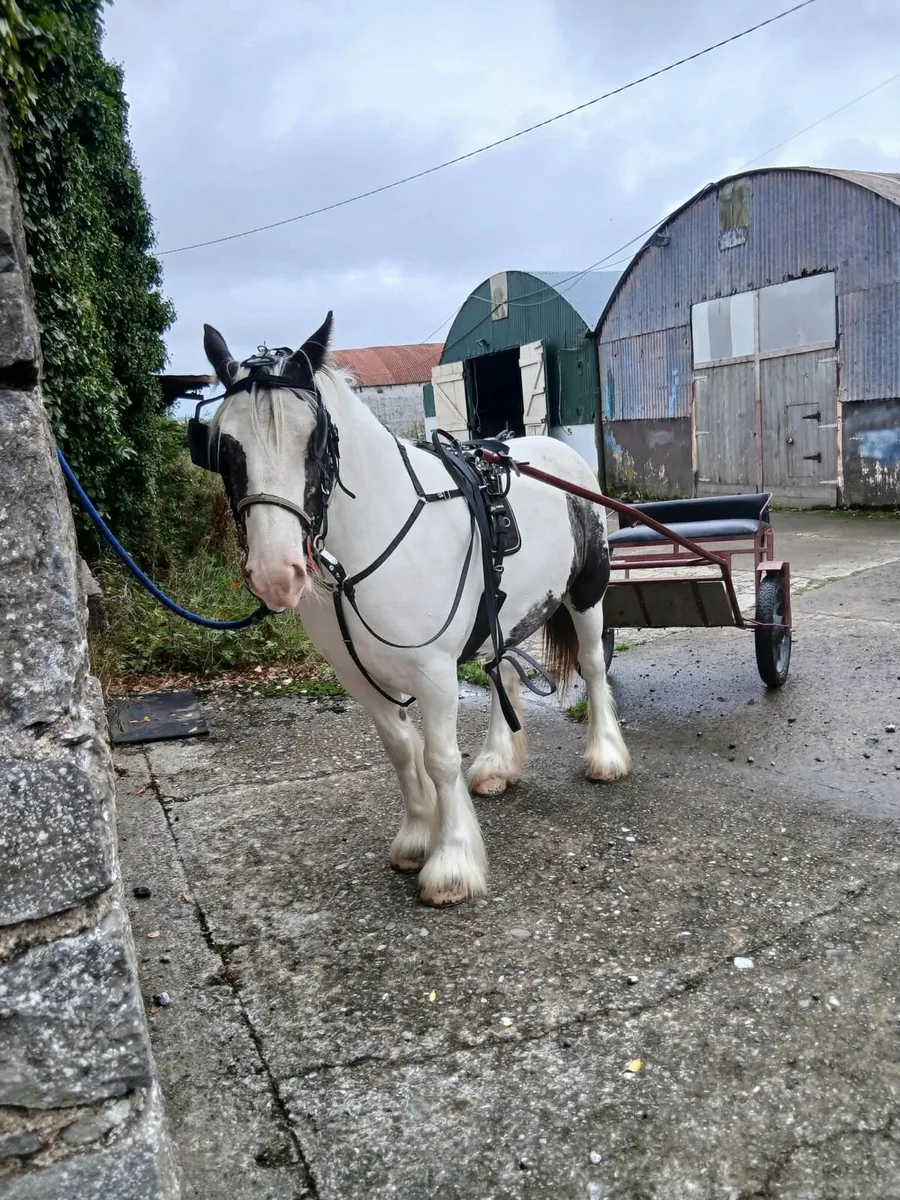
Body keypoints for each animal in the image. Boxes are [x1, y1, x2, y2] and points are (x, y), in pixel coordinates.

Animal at [194, 313, 631, 906]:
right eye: (224, 446)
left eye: (315, 440)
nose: (275, 573)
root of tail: (556, 454)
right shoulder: (357, 675)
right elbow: (402, 751)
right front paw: (417, 837)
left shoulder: (433, 671)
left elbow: (439, 758)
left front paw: (451, 863)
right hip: (501, 613)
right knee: (502, 672)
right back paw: (497, 764)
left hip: (587, 592)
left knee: (591, 665)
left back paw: (605, 755)